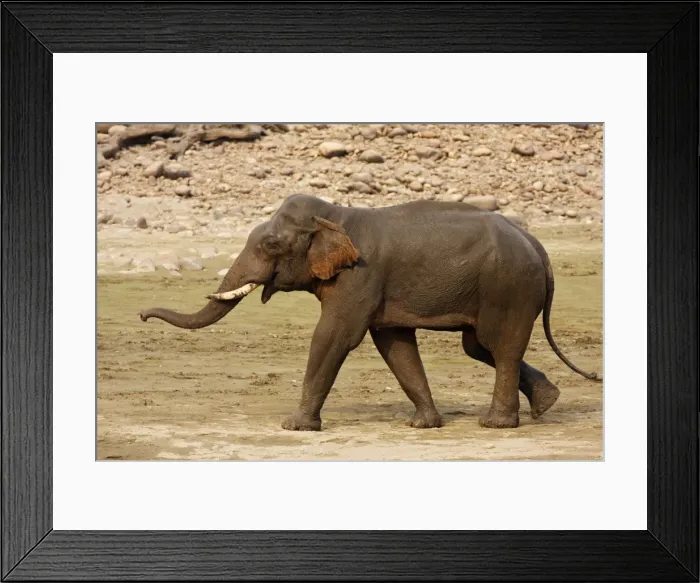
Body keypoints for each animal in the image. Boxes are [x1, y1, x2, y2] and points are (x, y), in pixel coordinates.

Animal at [140, 193, 600, 431]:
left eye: (270, 245)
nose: (142, 315)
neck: (334, 215)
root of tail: (538, 245)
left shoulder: (361, 277)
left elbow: (334, 336)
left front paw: (295, 427)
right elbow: (394, 345)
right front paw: (424, 425)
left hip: (508, 287)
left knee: (497, 345)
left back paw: (496, 425)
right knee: (479, 347)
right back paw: (547, 404)